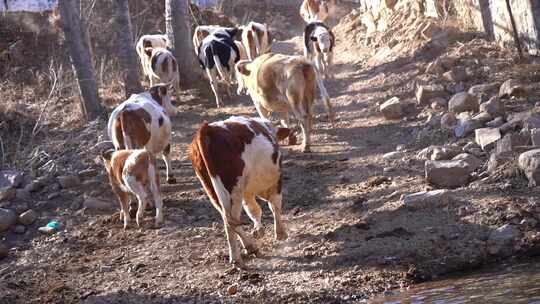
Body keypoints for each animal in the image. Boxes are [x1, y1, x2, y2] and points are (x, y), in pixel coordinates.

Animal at [190, 116, 292, 268]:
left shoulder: (247, 192)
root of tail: (207, 129)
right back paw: (237, 257)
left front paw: (259, 230)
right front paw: (280, 233)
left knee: (228, 219)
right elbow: (275, 206)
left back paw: (249, 247)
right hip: (235, 189)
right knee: (231, 220)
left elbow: (254, 210)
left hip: (212, 189)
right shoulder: (276, 181)